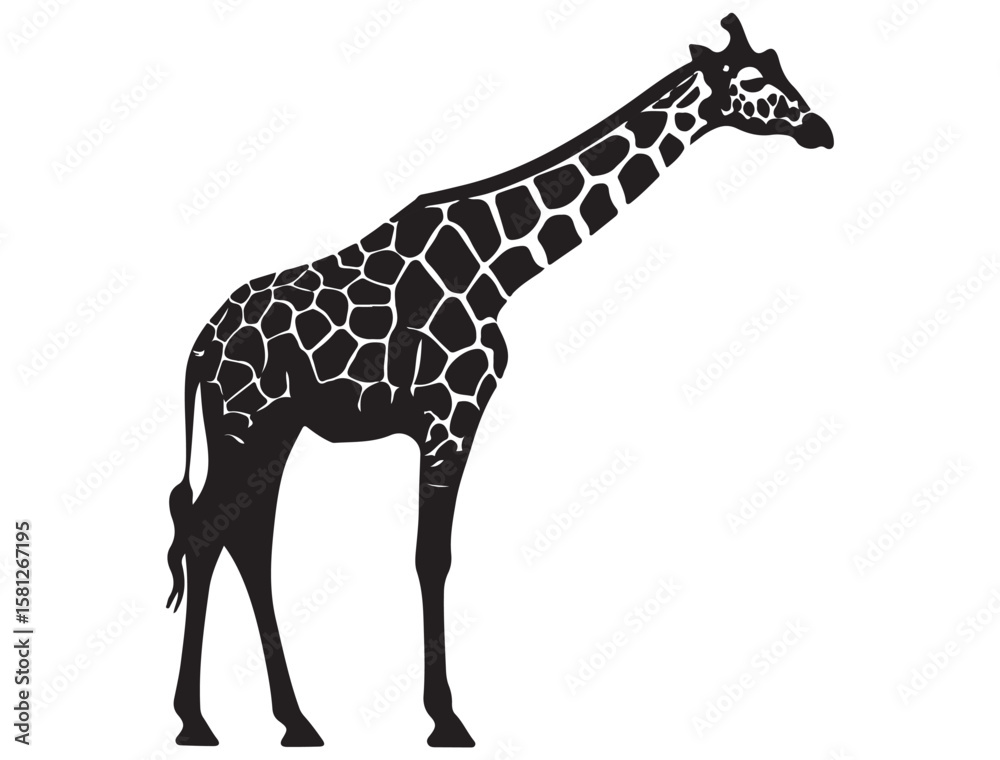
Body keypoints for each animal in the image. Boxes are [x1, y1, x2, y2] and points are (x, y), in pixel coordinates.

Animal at [165, 14, 832, 748]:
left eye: (778, 64)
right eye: (754, 79)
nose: (820, 129)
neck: (498, 265)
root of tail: (200, 345)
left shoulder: (443, 416)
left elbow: (427, 554)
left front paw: (438, 713)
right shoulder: (451, 411)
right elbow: (433, 556)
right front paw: (446, 719)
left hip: (271, 429)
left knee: (244, 540)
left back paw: (292, 721)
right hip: (246, 420)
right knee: (209, 534)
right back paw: (196, 722)